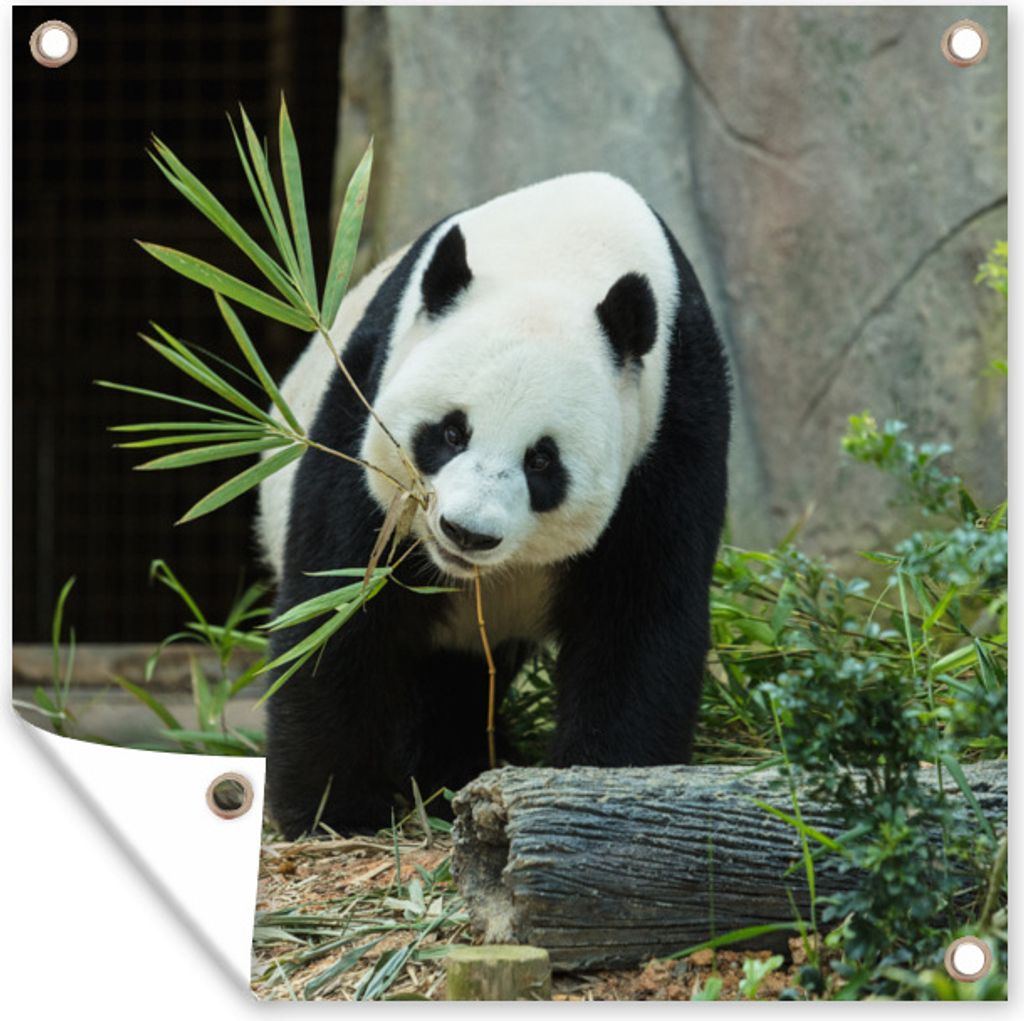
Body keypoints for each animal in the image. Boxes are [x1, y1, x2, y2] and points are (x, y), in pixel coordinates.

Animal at [258, 172, 730, 839]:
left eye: (542, 461)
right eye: (451, 432)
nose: (466, 533)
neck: (561, 251)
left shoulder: (672, 426)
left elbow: (638, 618)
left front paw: (607, 786)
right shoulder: (365, 398)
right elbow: (340, 605)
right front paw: (335, 811)